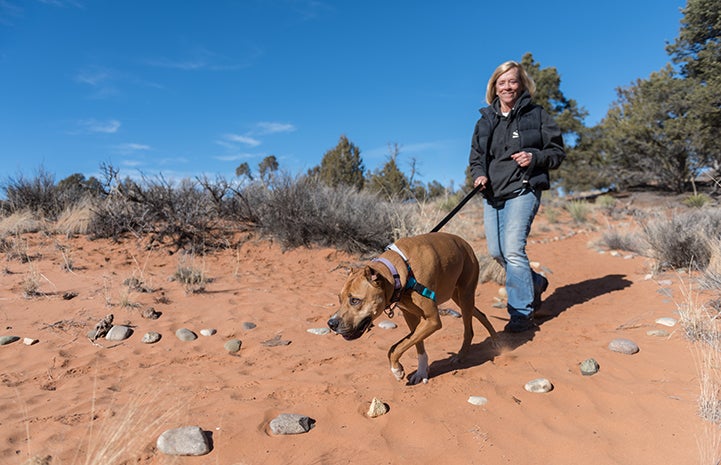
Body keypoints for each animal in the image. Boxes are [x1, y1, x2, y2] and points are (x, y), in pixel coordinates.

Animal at [326, 230, 496, 382]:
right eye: (340, 299)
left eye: (355, 300)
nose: (331, 324)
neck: (399, 272)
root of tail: (466, 243)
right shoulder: (411, 316)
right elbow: (414, 344)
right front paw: (421, 373)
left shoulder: (432, 320)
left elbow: (395, 347)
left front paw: (396, 369)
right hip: (458, 297)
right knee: (480, 313)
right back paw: (495, 340)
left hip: (465, 295)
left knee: (469, 330)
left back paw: (461, 355)